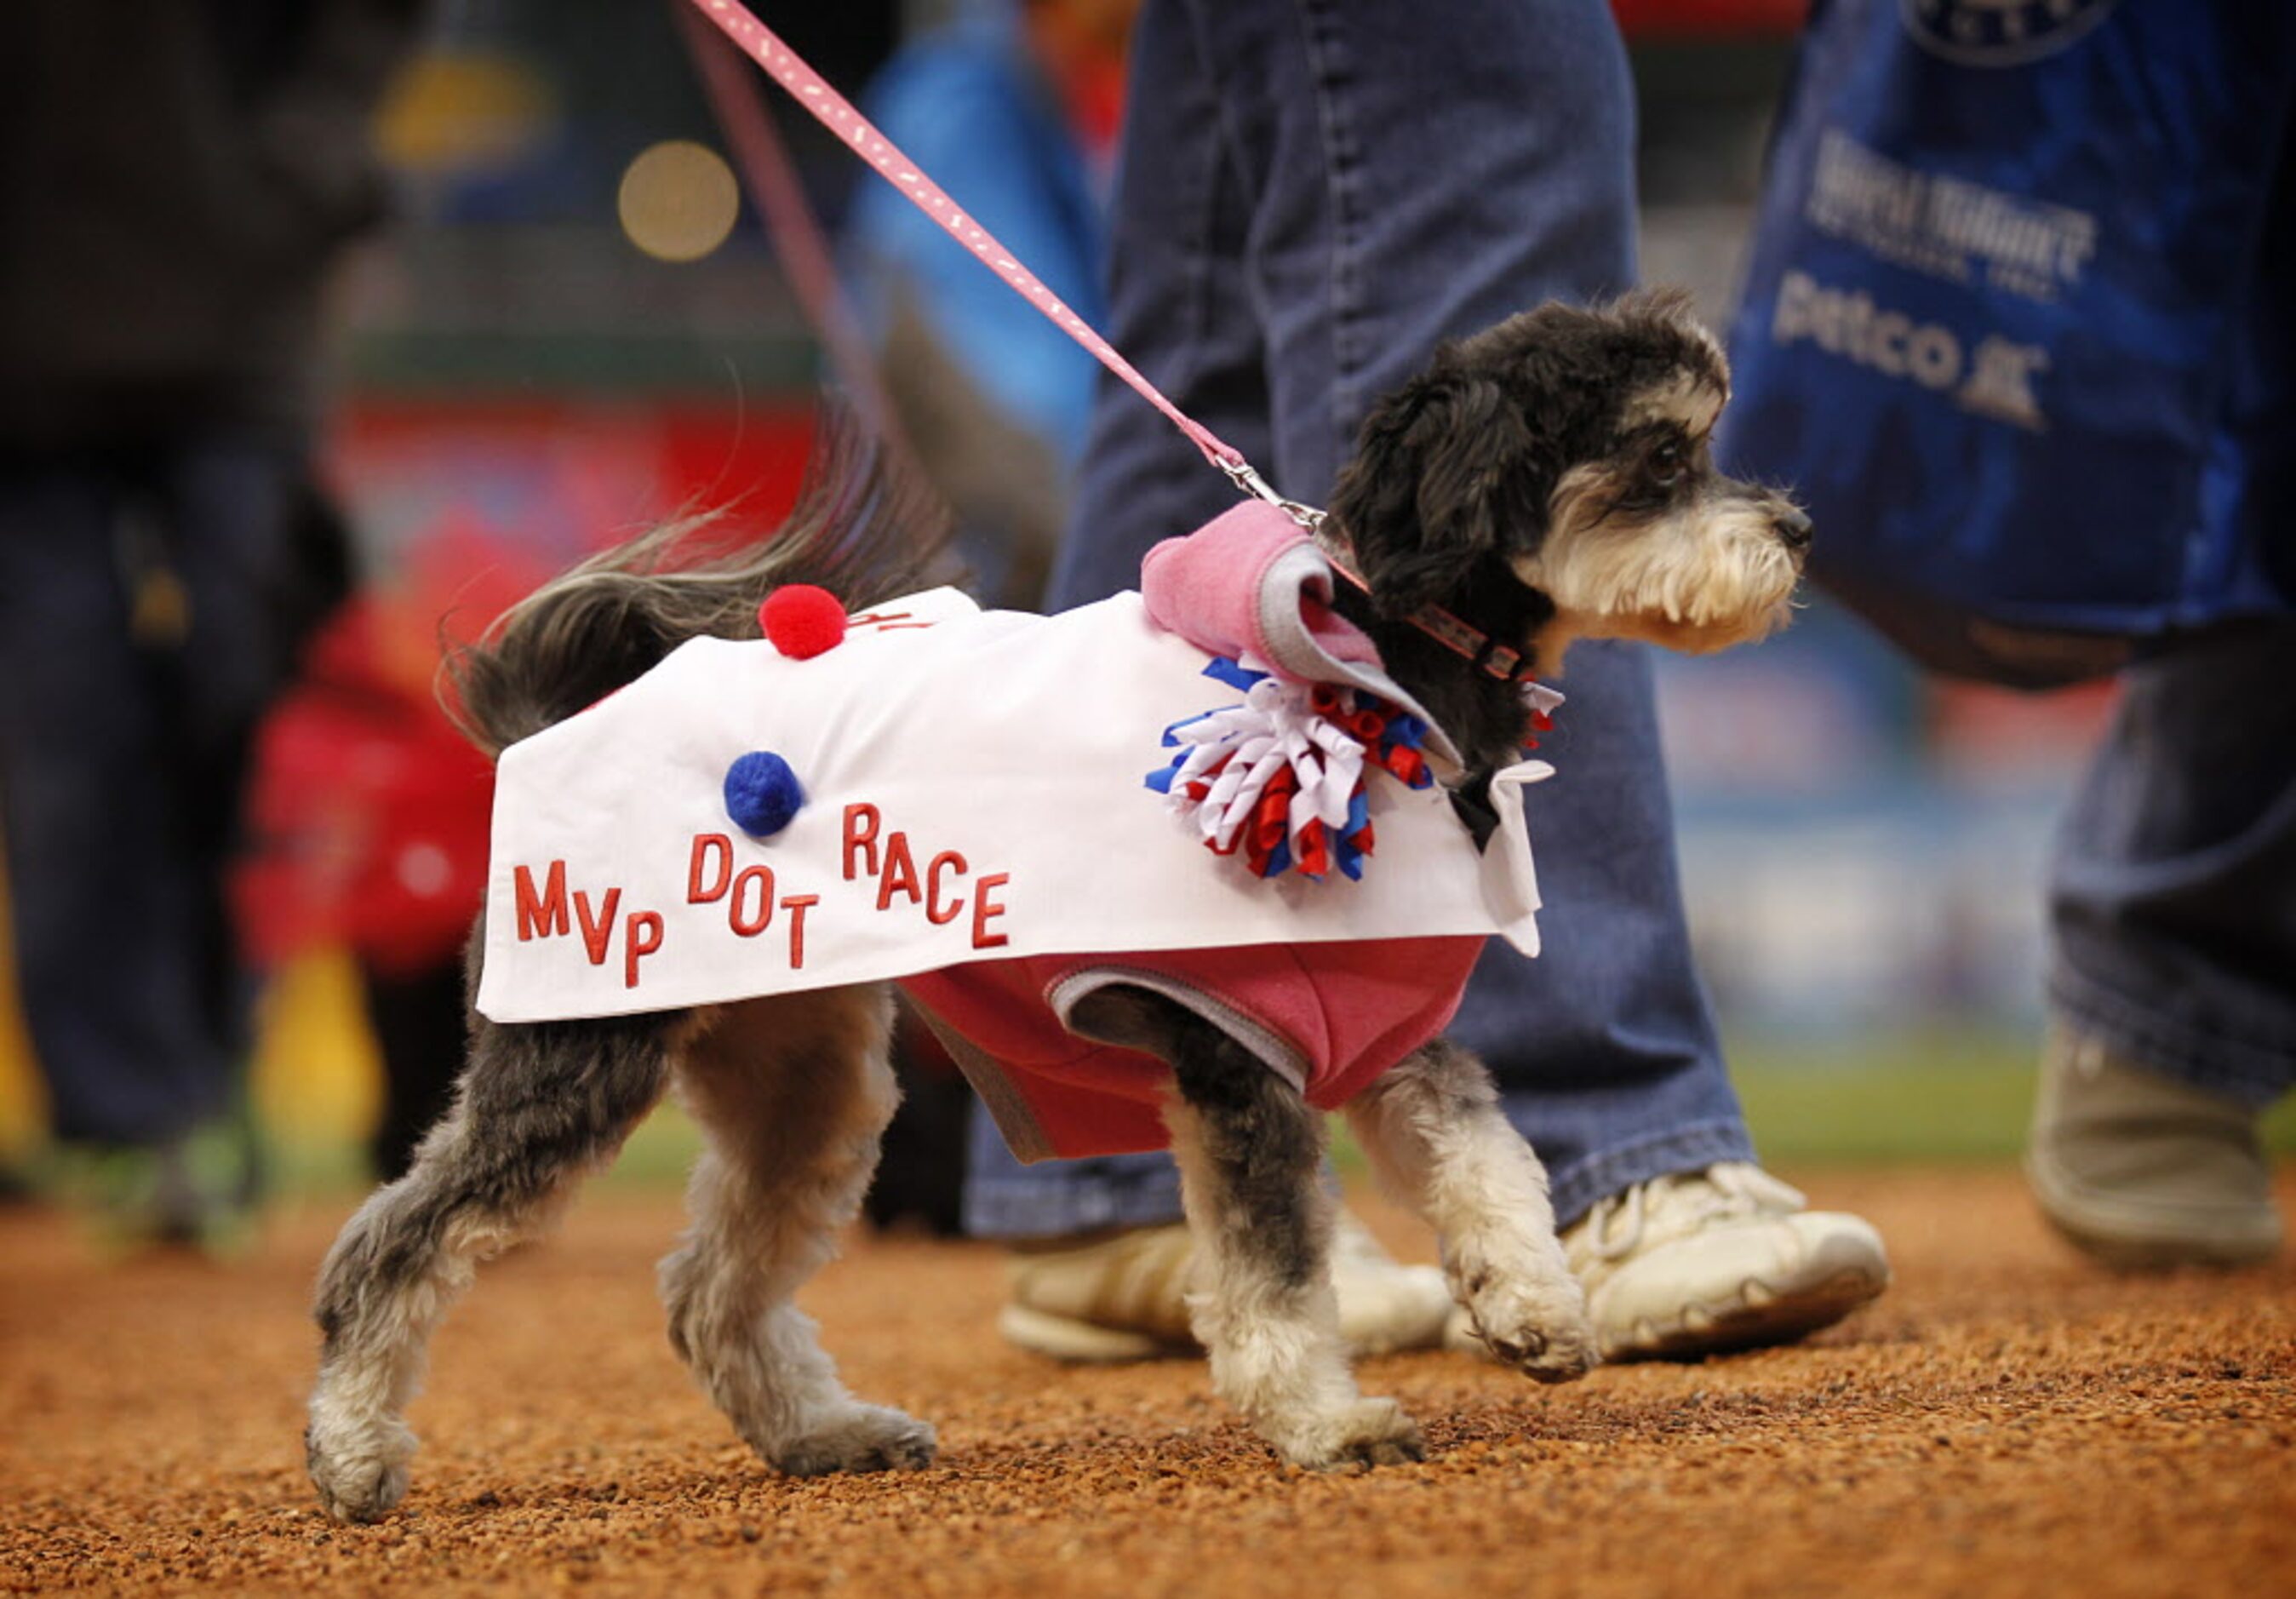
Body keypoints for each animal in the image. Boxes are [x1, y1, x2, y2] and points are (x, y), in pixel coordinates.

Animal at [301, 294, 1809, 1516]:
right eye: (1663, 456)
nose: (1795, 527)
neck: (1375, 672)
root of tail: (546, 721)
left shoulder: (1381, 1027)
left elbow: (1488, 1159)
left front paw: (1530, 1305)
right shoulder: (1234, 1052)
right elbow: (1273, 1270)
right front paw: (1325, 1421)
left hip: (803, 1072)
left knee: (706, 1289)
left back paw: (823, 1435)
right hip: (579, 1048)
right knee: (391, 1246)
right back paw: (354, 1450)